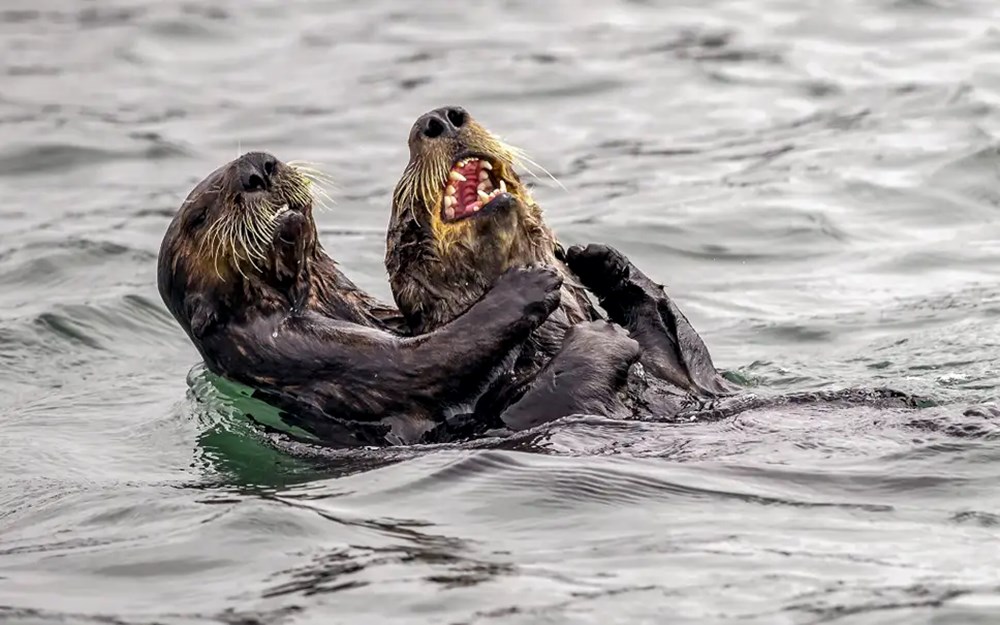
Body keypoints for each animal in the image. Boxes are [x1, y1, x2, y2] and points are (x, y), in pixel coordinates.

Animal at [156, 151, 640, 444]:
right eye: (200, 216)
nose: (259, 167)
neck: (314, 297)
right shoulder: (298, 348)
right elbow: (425, 357)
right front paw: (528, 284)